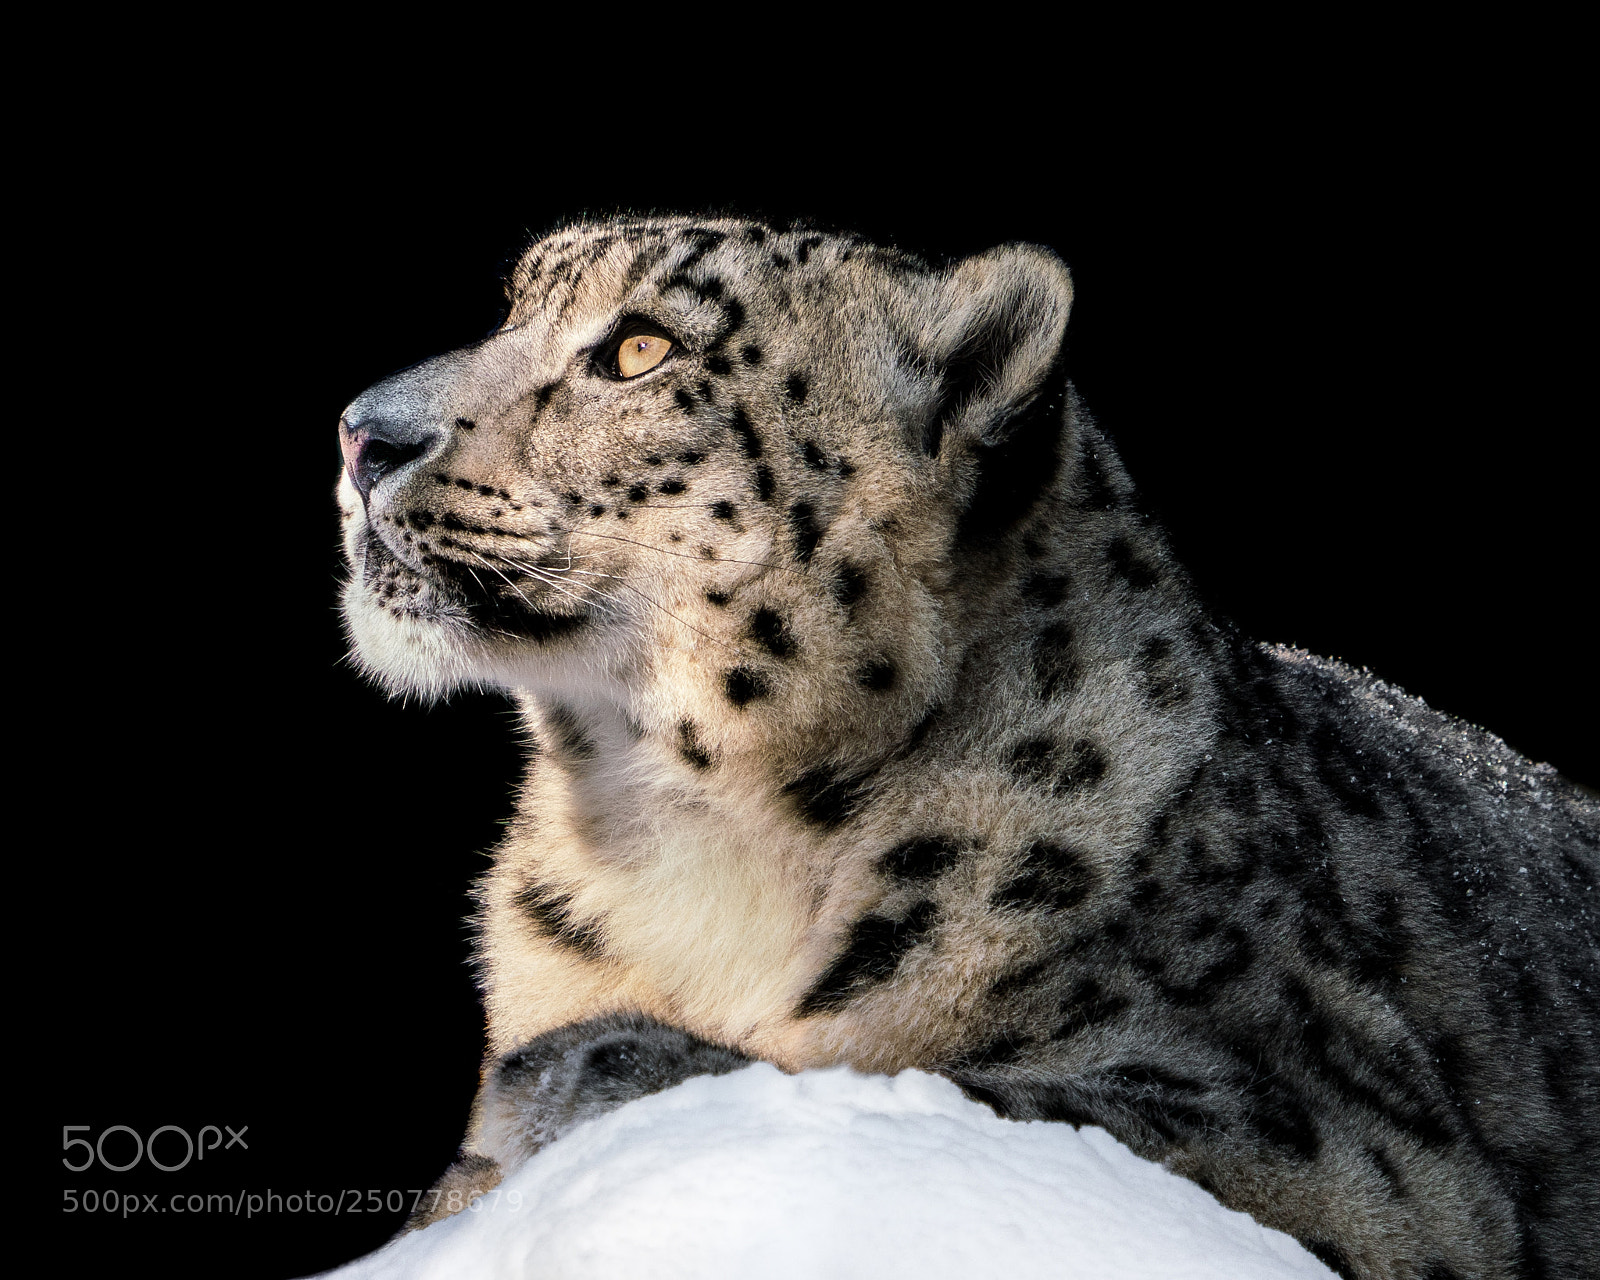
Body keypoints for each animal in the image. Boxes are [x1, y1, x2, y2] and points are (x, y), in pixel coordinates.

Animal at [335, 215, 1598, 1279]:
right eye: (511, 306)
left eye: (643, 346)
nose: (359, 434)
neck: (671, 836)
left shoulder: (1353, 1159)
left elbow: (959, 1086)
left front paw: (577, 1072)